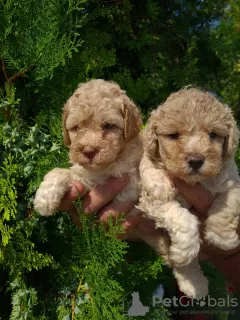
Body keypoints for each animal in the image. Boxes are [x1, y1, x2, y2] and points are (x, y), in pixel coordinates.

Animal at [33, 78, 142, 220]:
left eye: (108, 126)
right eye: (76, 127)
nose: (89, 151)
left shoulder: (129, 182)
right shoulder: (87, 175)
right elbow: (63, 172)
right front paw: (45, 198)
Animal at [138, 87, 240, 298]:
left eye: (213, 134)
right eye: (173, 135)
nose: (195, 160)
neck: (194, 182)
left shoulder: (232, 181)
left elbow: (226, 205)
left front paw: (222, 238)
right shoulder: (151, 199)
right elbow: (182, 217)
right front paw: (186, 249)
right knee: (178, 261)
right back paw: (191, 277)